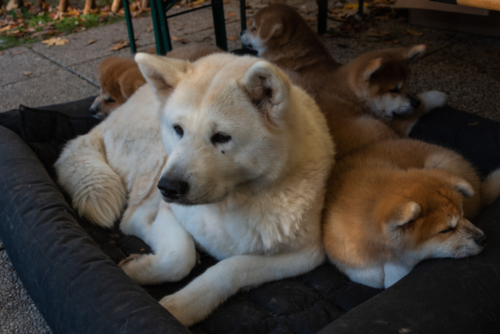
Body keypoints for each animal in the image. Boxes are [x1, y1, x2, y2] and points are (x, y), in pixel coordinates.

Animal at [54, 53, 334, 328]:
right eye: (178, 129)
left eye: (222, 137)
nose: (169, 188)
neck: (230, 204)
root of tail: (109, 119)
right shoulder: (170, 210)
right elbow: (180, 257)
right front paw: (144, 271)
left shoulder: (307, 254)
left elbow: (233, 266)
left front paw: (185, 305)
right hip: (158, 160)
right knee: (131, 219)